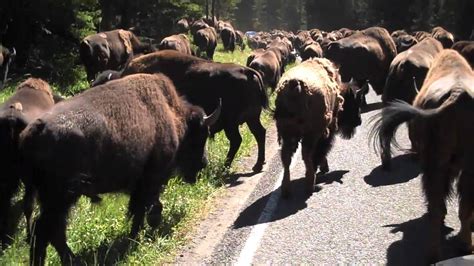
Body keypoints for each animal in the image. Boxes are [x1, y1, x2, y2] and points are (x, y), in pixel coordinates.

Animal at [20, 72, 220, 264]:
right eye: (201, 135)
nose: (203, 164)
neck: (171, 113)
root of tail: (35, 129)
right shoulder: (151, 179)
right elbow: (148, 208)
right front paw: (140, 235)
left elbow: (138, 209)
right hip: (62, 197)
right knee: (47, 229)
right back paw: (71, 260)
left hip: (53, 197)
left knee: (51, 230)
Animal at [274, 59, 366, 198]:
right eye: (355, 103)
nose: (359, 121)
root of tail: (295, 85)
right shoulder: (327, 132)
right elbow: (322, 151)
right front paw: (324, 168)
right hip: (310, 134)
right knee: (307, 154)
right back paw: (309, 184)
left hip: (287, 134)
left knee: (286, 157)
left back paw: (286, 190)